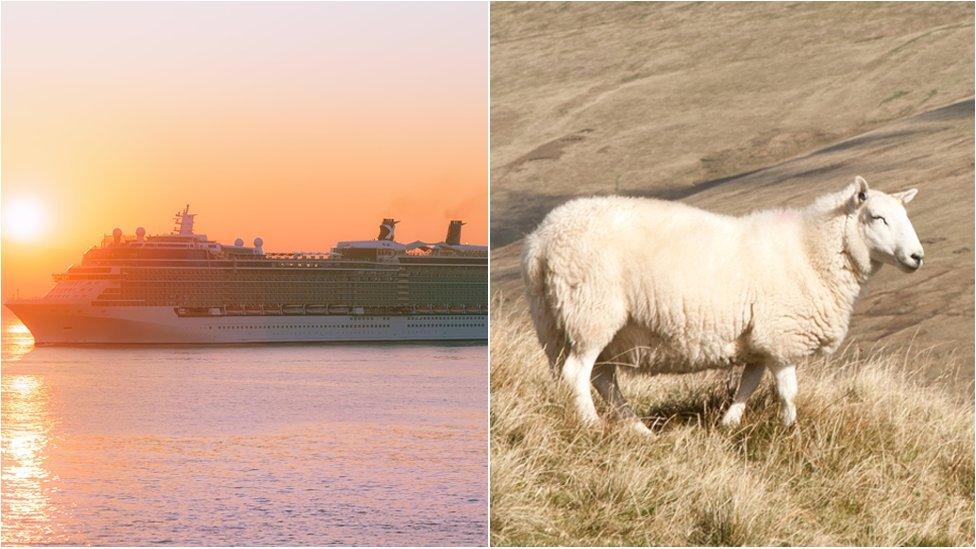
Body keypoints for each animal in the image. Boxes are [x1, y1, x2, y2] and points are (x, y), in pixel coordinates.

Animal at [524, 176, 920, 432]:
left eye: (906, 217)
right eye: (877, 217)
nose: (918, 257)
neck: (811, 249)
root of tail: (541, 240)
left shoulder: (760, 340)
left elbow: (750, 383)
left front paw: (729, 424)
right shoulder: (782, 336)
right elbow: (788, 392)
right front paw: (791, 431)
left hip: (560, 322)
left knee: (601, 378)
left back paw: (638, 429)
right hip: (590, 311)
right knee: (578, 373)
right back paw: (591, 425)